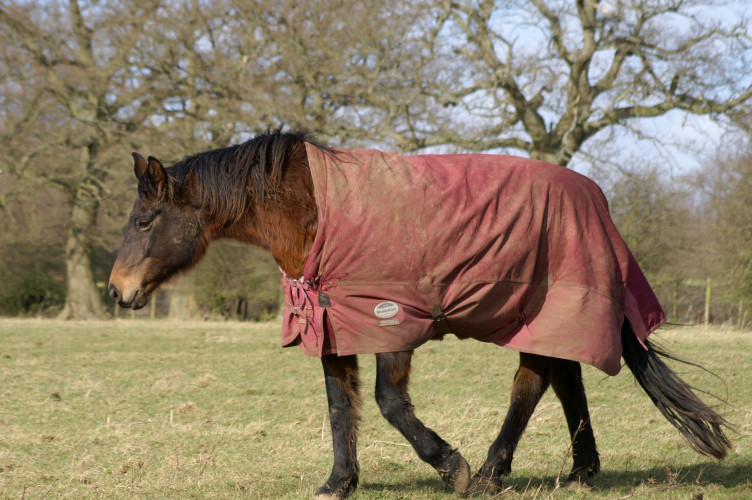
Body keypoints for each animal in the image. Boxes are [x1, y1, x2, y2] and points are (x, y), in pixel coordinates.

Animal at [108, 131, 731, 498]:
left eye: (144, 221)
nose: (117, 290)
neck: (317, 210)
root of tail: (596, 199)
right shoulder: (336, 324)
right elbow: (341, 407)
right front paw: (338, 482)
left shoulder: (392, 322)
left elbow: (388, 402)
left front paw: (448, 464)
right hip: (549, 319)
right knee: (564, 378)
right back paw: (579, 472)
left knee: (530, 385)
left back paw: (487, 474)